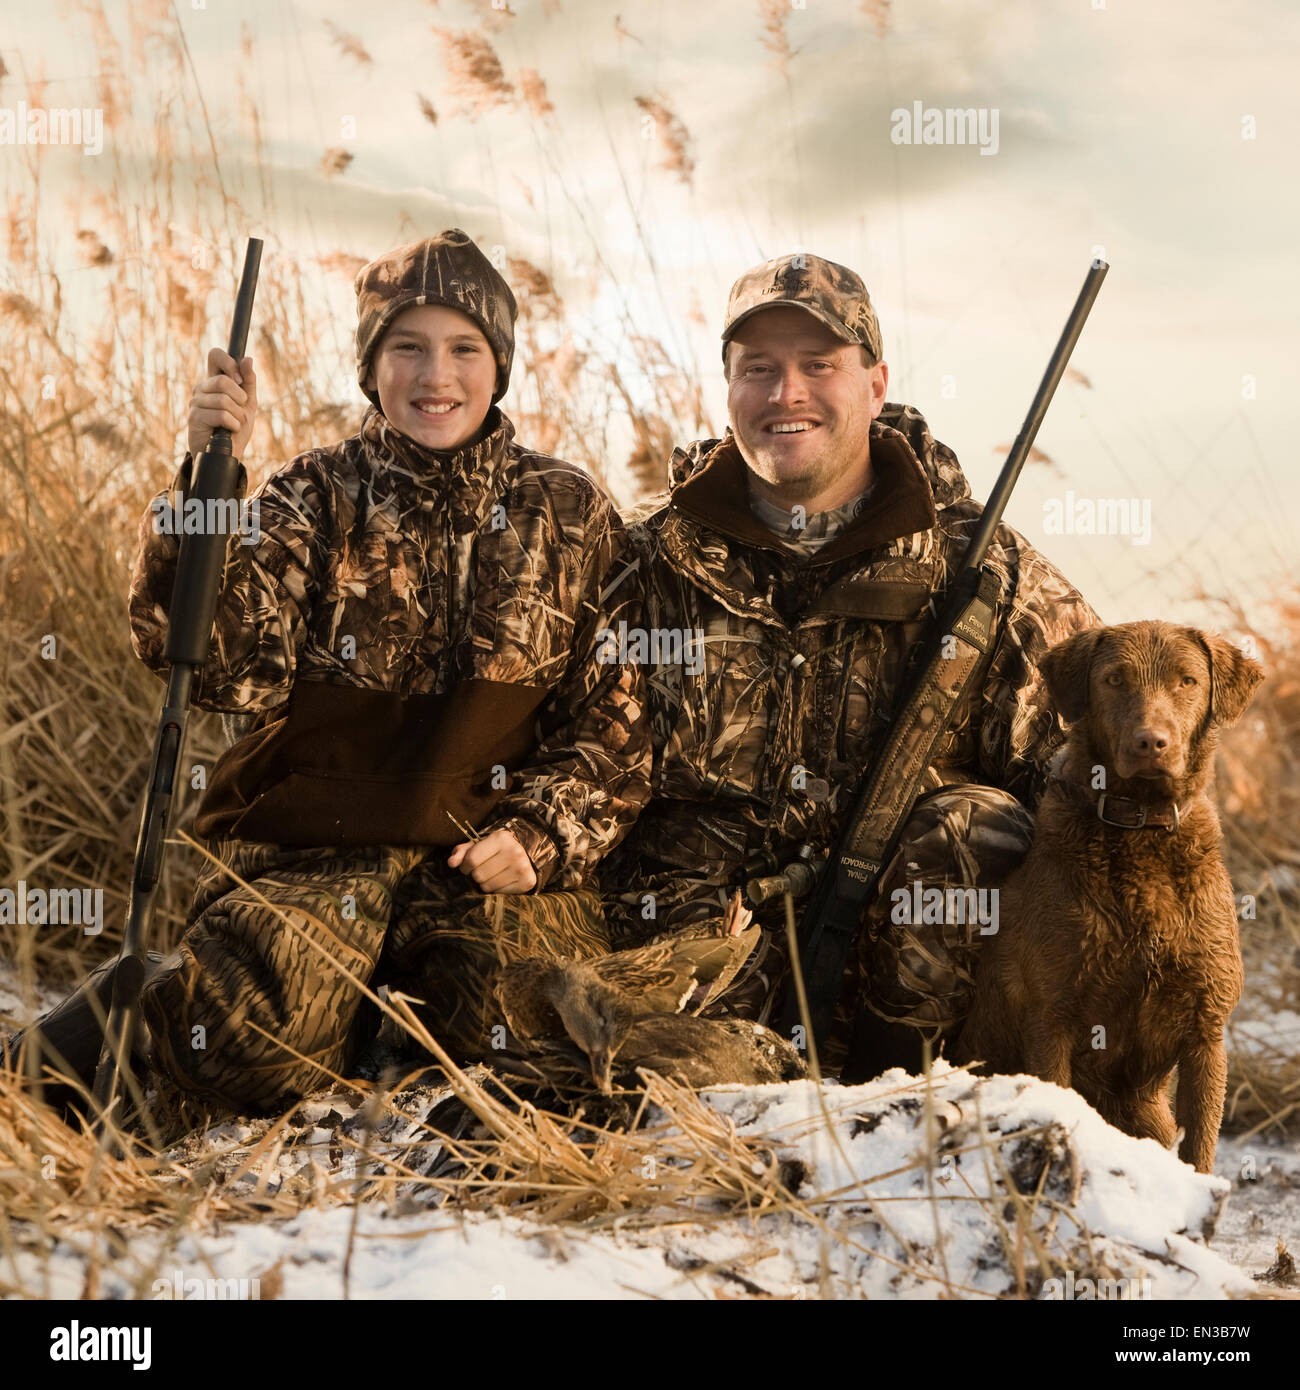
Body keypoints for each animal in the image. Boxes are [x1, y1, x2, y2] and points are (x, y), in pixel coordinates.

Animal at [956, 622, 1262, 1173]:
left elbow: (1200, 1148)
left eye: (1187, 680)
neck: (1141, 831)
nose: (1151, 743)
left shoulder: (1207, 1029)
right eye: (1115, 679)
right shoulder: (1051, 1018)